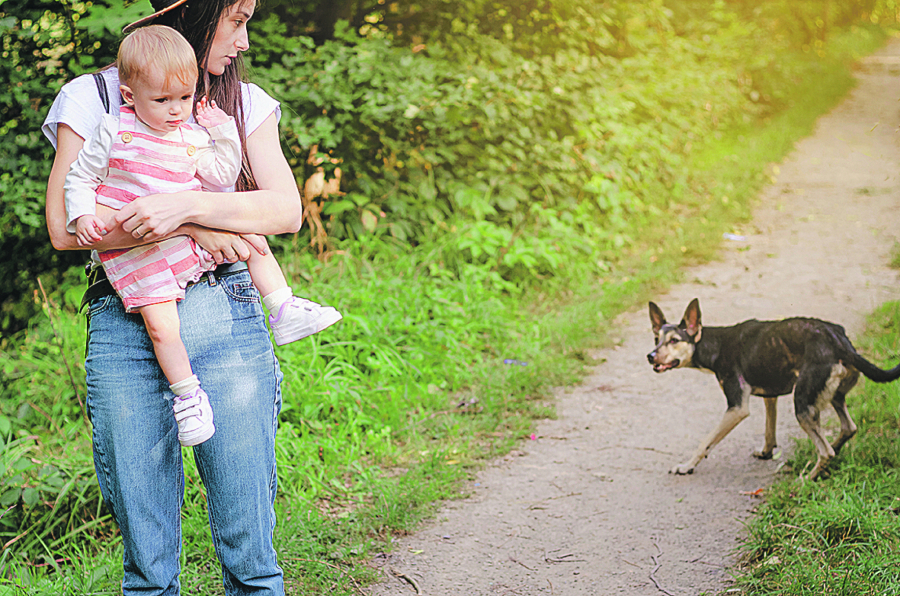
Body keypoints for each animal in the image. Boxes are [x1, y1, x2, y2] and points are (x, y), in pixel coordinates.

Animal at [648, 298, 900, 480]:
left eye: (674, 341)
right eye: (655, 339)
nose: (650, 356)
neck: (716, 345)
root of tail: (840, 341)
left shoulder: (737, 408)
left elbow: (705, 442)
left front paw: (686, 466)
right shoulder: (770, 396)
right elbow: (769, 430)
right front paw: (766, 452)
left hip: (802, 403)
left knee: (825, 450)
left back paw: (807, 478)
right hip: (830, 396)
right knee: (848, 428)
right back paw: (833, 454)